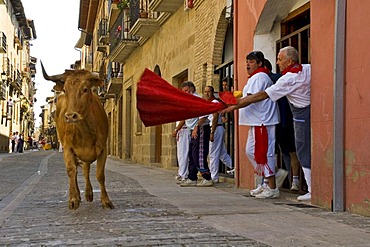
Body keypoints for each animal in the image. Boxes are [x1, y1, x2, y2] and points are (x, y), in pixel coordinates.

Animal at [41, 61, 113, 210]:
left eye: (85, 89)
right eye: (65, 90)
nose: (70, 116)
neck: (85, 131)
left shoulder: (102, 149)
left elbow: (99, 175)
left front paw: (106, 200)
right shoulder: (68, 148)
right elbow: (71, 171)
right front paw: (73, 199)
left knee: (85, 170)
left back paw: (88, 194)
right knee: (75, 172)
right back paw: (77, 196)